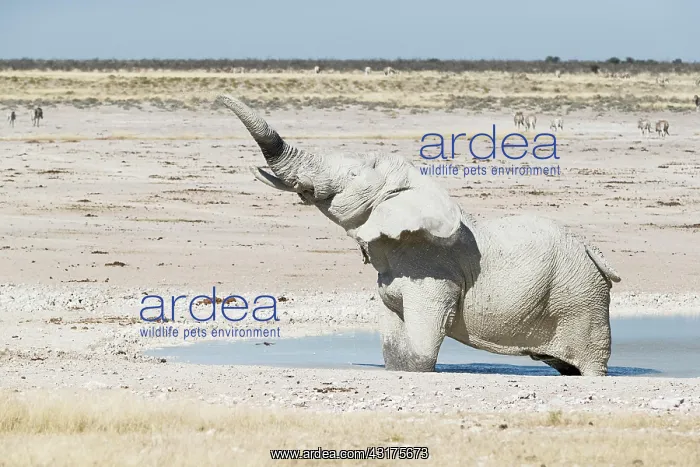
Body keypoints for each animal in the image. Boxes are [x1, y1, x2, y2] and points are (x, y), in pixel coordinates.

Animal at [215, 94, 622, 376]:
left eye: (352, 176)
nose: (220, 97)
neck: (415, 186)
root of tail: (593, 252)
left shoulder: (434, 275)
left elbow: (421, 351)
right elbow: (394, 348)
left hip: (581, 298)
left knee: (589, 364)